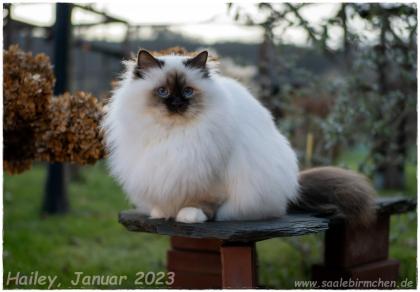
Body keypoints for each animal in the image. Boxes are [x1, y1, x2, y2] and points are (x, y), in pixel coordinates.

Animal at [102, 49, 378, 225]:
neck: (173, 134)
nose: (177, 104)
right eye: (162, 92)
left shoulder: (209, 178)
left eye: (188, 92)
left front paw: (188, 216)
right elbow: (165, 199)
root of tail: (294, 185)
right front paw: (161, 213)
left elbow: (202, 203)